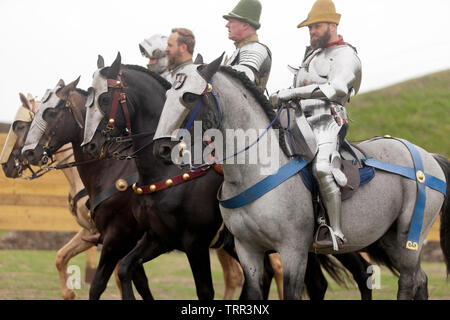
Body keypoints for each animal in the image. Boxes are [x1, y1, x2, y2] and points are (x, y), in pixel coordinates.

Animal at [152, 55, 450, 300]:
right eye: (166, 94)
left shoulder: (292, 251)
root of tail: (427, 156)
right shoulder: (248, 250)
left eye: (189, 97)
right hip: (389, 239)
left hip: (408, 239)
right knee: (420, 280)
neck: (256, 169)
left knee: (409, 281)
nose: (162, 149)